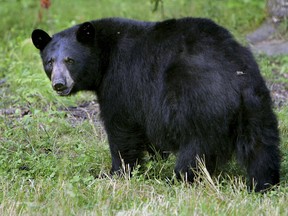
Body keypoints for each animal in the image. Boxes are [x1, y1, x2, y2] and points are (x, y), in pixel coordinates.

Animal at [31, 17, 280, 192]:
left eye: (70, 60)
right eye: (49, 62)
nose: (59, 84)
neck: (104, 56)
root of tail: (236, 77)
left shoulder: (122, 82)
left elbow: (121, 129)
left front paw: (116, 173)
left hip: (200, 105)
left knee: (196, 151)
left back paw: (179, 179)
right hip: (256, 106)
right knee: (261, 147)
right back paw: (264, 184)